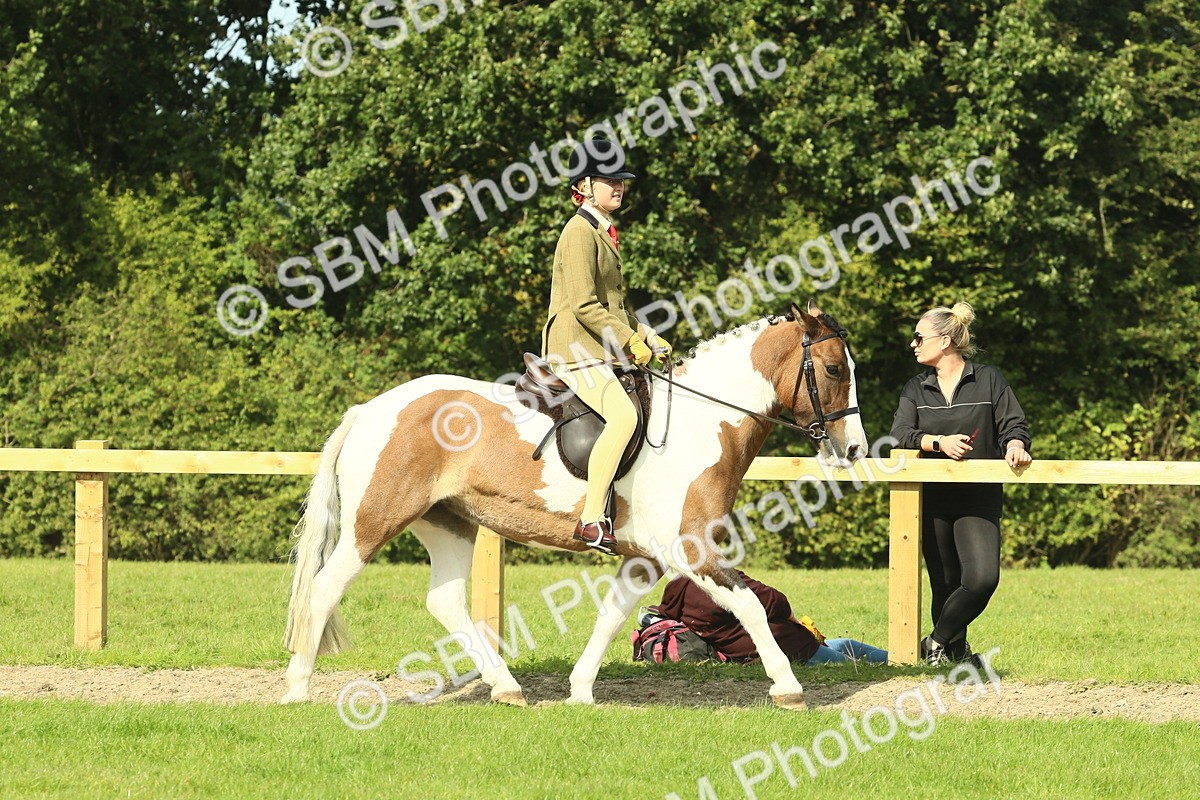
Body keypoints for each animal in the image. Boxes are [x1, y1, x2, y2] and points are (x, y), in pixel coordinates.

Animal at [281, 300, 868, 709]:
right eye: (834, 370)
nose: (855, 449)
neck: (702, 422)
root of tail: (372, 408)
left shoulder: (644, 558)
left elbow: (611, 617)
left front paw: (580, 690)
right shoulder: (689, 548)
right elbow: (748, 606)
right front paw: (788, 687)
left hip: (449, 524)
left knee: (445, 601)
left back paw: (506, 687)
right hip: (372, 523)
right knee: (325, 588)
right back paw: (297, 689)